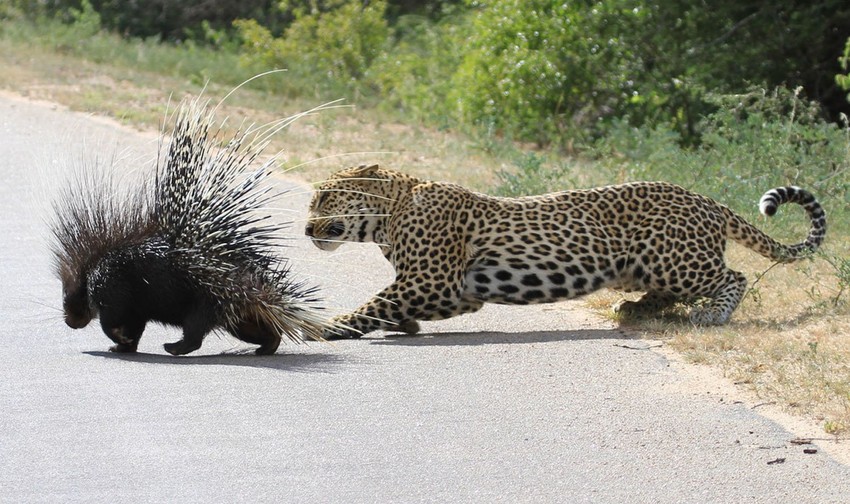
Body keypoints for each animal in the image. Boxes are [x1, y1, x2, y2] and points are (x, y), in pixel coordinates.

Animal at [305, 164, 826, 338]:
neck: (389, 217)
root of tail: (707, 200)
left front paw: (326, 328)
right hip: (642, 266)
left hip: (673, 261)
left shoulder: (433, 280)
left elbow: (373, 303)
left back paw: (713, 314)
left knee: (732, 277)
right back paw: (634, 309)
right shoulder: (456, 292)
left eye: (325, 198)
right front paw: (405, 324)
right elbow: (389, 304)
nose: (307, 228)